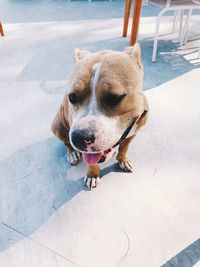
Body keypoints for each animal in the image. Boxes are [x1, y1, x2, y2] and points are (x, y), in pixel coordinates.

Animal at [51, 44, 148, 189]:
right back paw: (73, 153)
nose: (79, 138)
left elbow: (124, 147)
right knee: (66, 142)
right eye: (72, 97)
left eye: (115, 98)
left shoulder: (134, 131)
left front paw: (123, 159)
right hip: (57, 125)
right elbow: (91, 161)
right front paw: (92, 175)